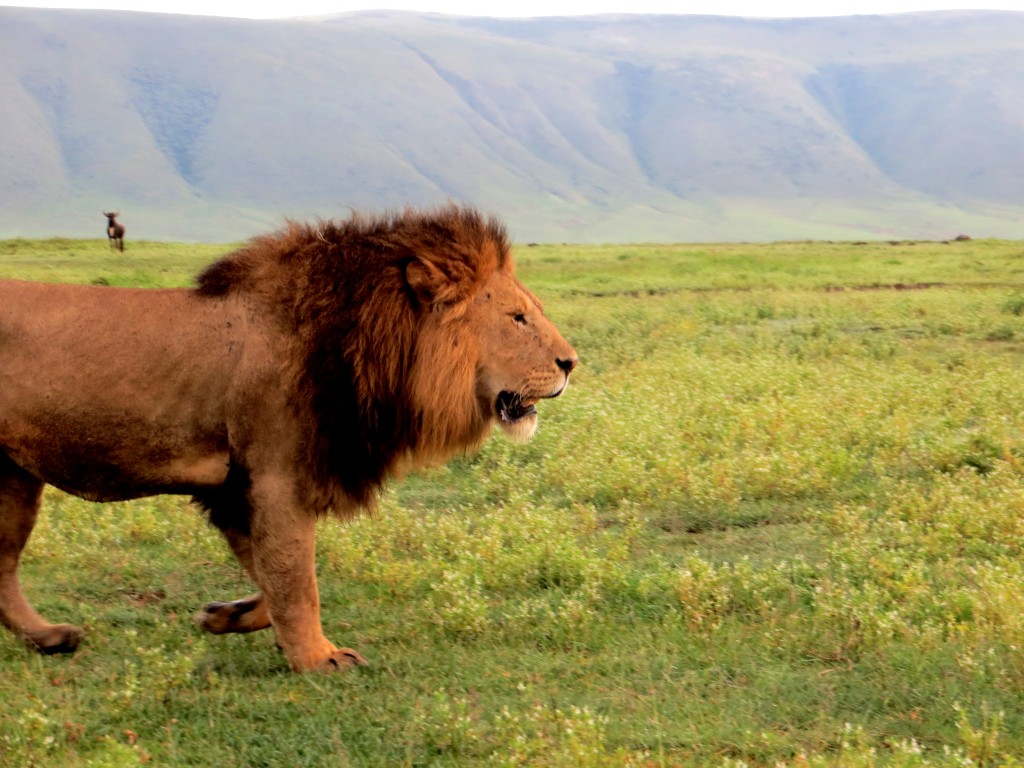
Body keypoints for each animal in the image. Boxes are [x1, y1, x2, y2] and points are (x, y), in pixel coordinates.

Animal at [0, 205, 577, 671]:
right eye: (518, 318)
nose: (571, 363)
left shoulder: (236, 487)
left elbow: (267, 573)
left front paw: (226, 615)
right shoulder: (277, 478)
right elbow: (297, 579)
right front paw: (319, 660)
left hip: (14, 480)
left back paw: (49, 638)